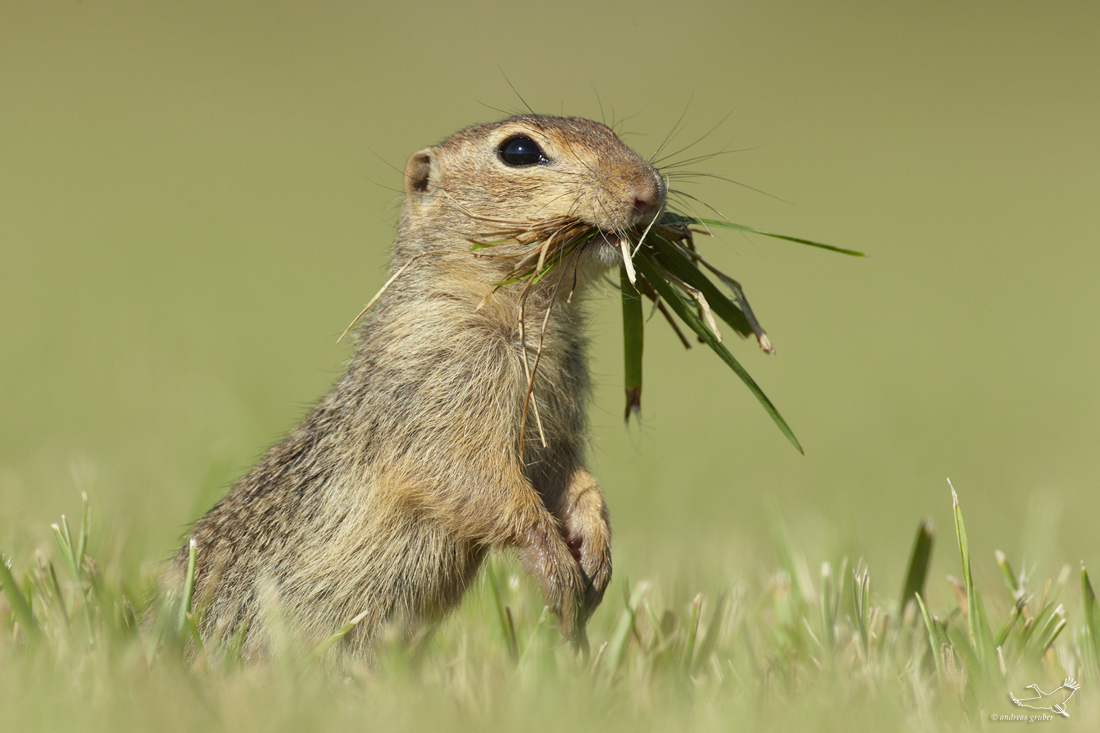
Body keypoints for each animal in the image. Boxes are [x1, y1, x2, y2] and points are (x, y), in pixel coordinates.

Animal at [166, 114, 664, 655]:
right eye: (519, 151)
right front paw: (556, 570)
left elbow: (572, 478)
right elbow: (476, 483)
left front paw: (596, 552)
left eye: (609, 131)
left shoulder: (557, 419)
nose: (647, 190)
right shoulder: (437, 390)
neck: (527, 314)